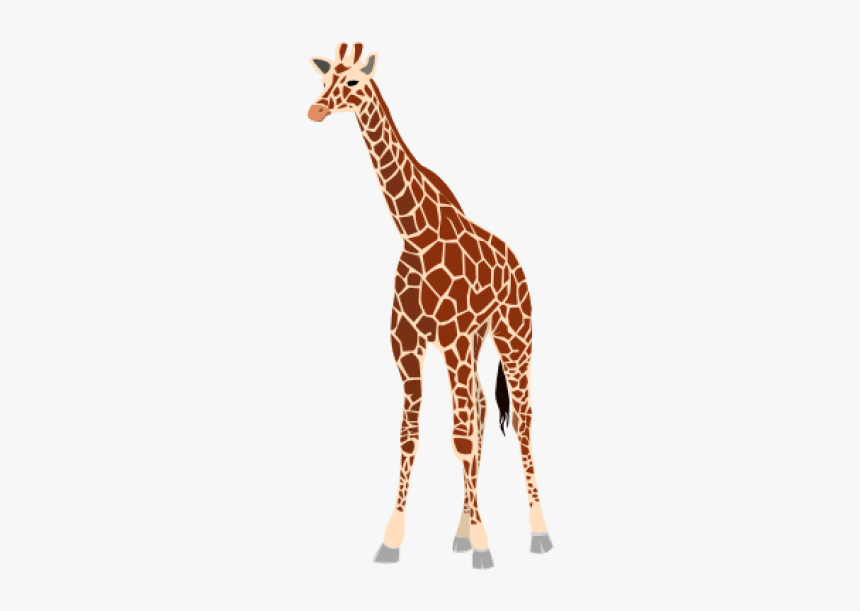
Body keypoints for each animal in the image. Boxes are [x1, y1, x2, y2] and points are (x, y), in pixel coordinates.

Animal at [307, 42, 553, 569]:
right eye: (323, 79)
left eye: (354, 81)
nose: (316, 110)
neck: (416, 236)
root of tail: (518, 264)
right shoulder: (406, 343)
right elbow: (411, 434)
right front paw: (392, 540)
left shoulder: (453, 337)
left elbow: (460, 437)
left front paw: (484, 546)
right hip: (473, 342)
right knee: (479, 407)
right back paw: (460, 531)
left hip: (513, 335)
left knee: (519, 419)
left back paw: (538, 532)